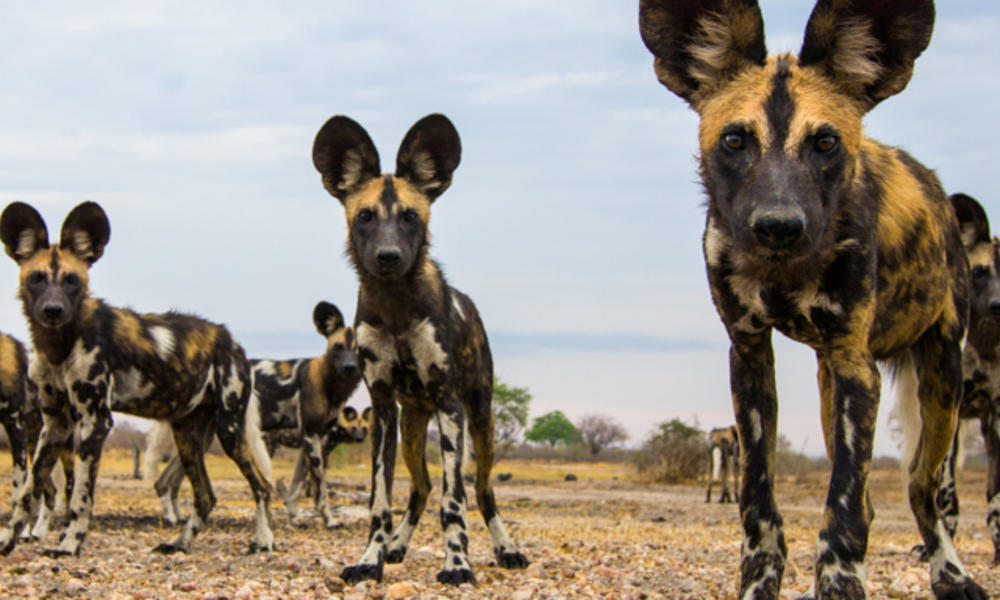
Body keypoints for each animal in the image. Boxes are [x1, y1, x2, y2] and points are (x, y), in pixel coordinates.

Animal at [0, 202, 274, 556]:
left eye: (72, 280)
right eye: (36, 278)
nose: (53, 309)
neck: (59, 345)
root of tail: (233, 341)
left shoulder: (95, 422)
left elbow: (80, 499)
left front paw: (69, 544)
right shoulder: (55, 425)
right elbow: (26, 493)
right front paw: (8, 541)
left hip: (230, 431)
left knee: (262, 487)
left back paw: (264, 541)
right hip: (187, 436)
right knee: (206, 497)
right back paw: (179, 544)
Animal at [148, 302, 364, 528]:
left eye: (361, 351)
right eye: (338, 347)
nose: (350, 368)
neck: (328, 382)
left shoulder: (311, 442)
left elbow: (296, 487)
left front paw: (294, 518)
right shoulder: (312, 438)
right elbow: (320, 488)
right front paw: (329, 521)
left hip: (203, 438)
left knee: (165, 481)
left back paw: (177, 518)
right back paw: (173, 518)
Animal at [312, 113, 532, 584]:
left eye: (411, 216)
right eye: (365, 216)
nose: (388, 256)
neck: (396, 306)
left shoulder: (450, 405)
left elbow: (455, 501)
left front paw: (458, 565)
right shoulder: (381, 412)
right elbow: (380, 502)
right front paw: (370, 560)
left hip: (481, 420)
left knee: (482, 491)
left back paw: (507, 550)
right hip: (412, 428)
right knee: (421, 487)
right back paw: (396, 547)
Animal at [636, 1, 980, 600]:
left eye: (825, 143)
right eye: (734, 141)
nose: (778, 226)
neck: (782, 271)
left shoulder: (856, 365)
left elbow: (842, 508)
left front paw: (840, 582)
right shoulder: (750, 356)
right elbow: (759, 502)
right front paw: (760, 583)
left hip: (941, 381)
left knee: (921, 487)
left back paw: (952, 575)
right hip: (831, 384)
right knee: (872, 496)